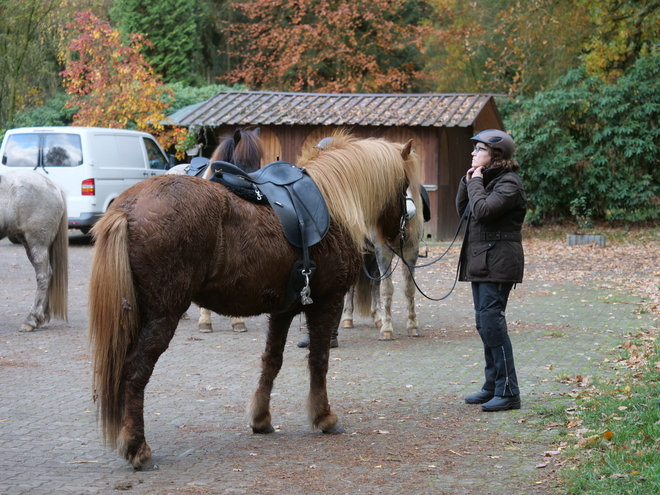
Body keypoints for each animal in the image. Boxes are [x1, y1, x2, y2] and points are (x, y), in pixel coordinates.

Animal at [89, 130, 422, 470]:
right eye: (404, 185)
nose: (404, 233)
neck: (333, 203)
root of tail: (127, 208)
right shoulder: (326, 302)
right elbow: (319, 360)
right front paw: (323, 417)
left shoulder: (284, 309)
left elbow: (271, 361)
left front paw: (261, 418)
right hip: (163, 315)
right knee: (135, 371)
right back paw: (137, 447)